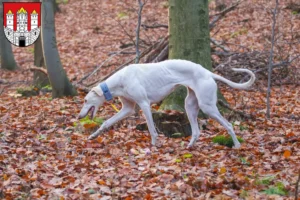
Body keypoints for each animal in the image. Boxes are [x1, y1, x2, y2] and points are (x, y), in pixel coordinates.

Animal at [78, 59, 254, 148]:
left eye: (86, 100)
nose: (79, 117)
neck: (120, 81)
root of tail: (207, 72)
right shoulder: (127, 108)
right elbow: (106, 122)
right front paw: (94, 135)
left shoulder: (144, 104)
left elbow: (151, 128)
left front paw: (154, 144)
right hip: (190, 106)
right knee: (196, 131)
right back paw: (189, 146)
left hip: (207, 106)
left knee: (229, 125)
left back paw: (237, 145)